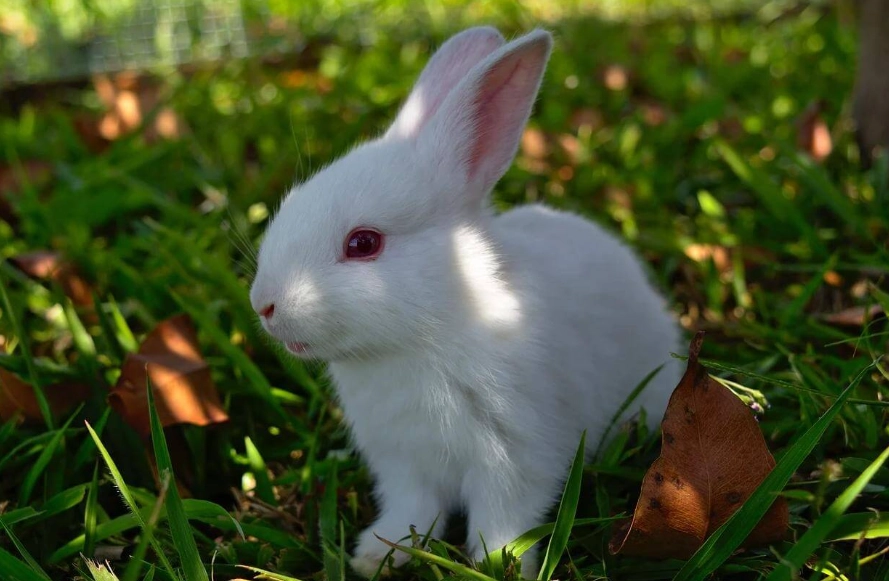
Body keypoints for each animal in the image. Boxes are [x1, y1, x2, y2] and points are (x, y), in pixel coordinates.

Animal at [249, 26, 683, 579]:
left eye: (363, 243)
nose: (264, 304)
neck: (426, 334)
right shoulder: (403, 463)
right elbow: (412, 510)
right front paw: (377, 555)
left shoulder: (513, 457)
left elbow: (504, 518)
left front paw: (500, 564)